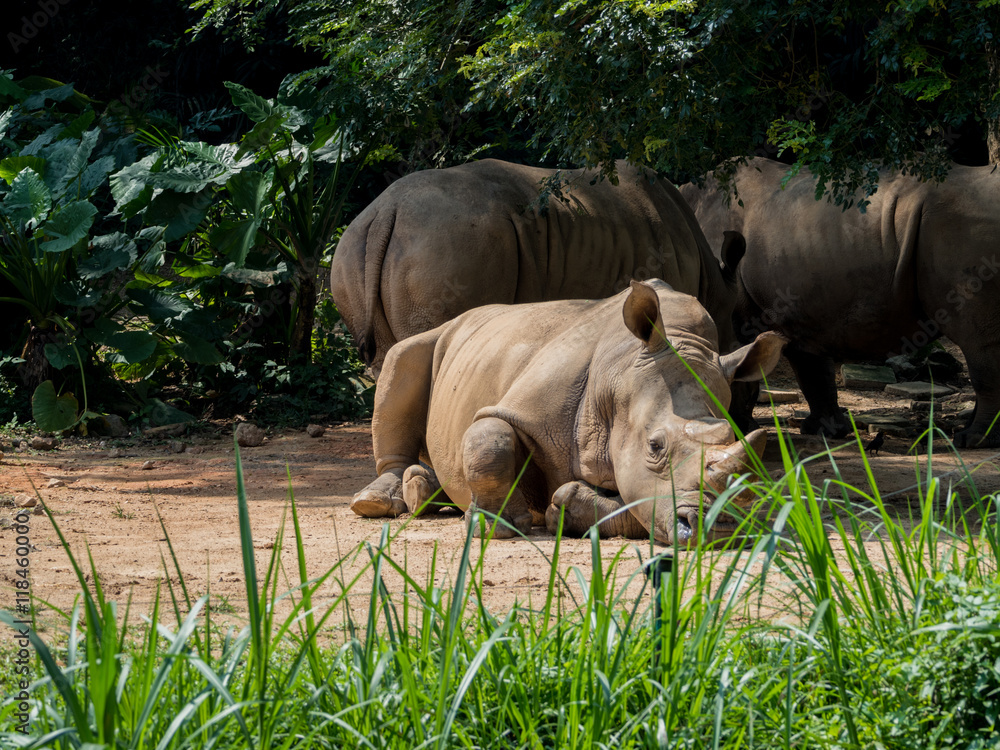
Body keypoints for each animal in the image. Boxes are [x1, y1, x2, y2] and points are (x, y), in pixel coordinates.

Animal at [349, 279, 785, 544]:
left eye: (736, 443)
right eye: (655, 446)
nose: (717, 529)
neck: (618, 378)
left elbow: (635, 501)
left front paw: (566, 508)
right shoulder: (518, 408)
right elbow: (490, 442)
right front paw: (496, 528)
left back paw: (423, 491)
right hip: (438, 336)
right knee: (402, 358)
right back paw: (380, 502)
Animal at [679, 157, 1000, 447]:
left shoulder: (739, 310)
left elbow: (737, 369)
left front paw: (740, 428)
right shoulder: (793, 312)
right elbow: (812, 370)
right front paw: (826, 431)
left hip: (963, 228)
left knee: (976, 340)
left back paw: (973, 440)